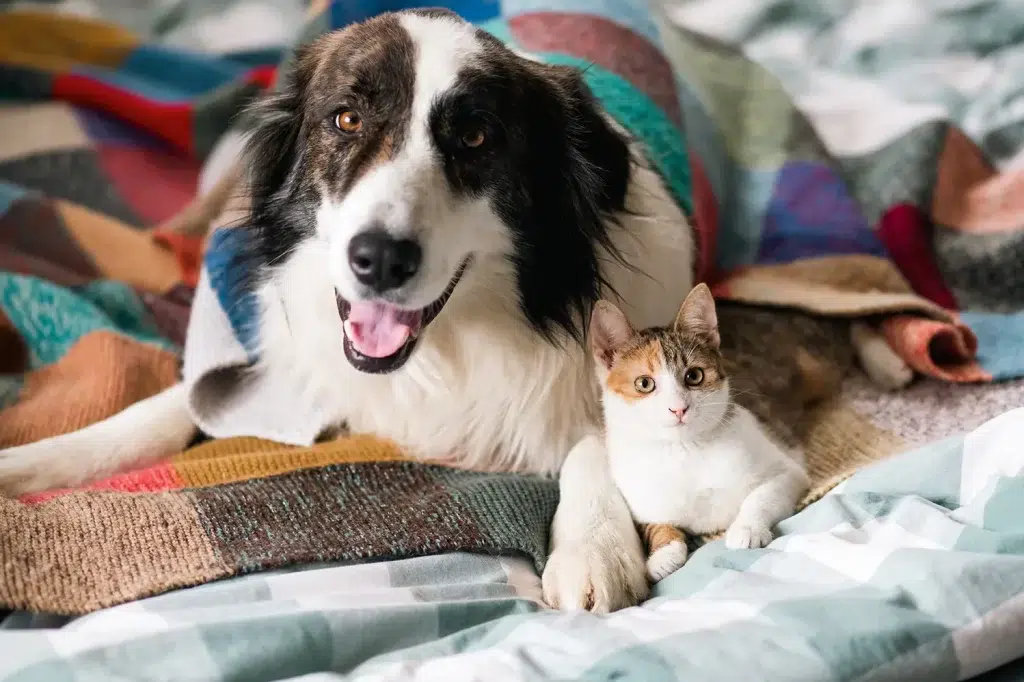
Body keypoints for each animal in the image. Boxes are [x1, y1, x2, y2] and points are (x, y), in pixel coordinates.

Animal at [593, 284, 831, 581]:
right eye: (644, 384)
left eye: (694, 376)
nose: (678, 408)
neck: (683, 451)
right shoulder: (641, 501)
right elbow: (654, 523)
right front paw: (663, 554)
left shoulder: (787, 470)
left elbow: (762, 496)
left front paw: (748, 527)